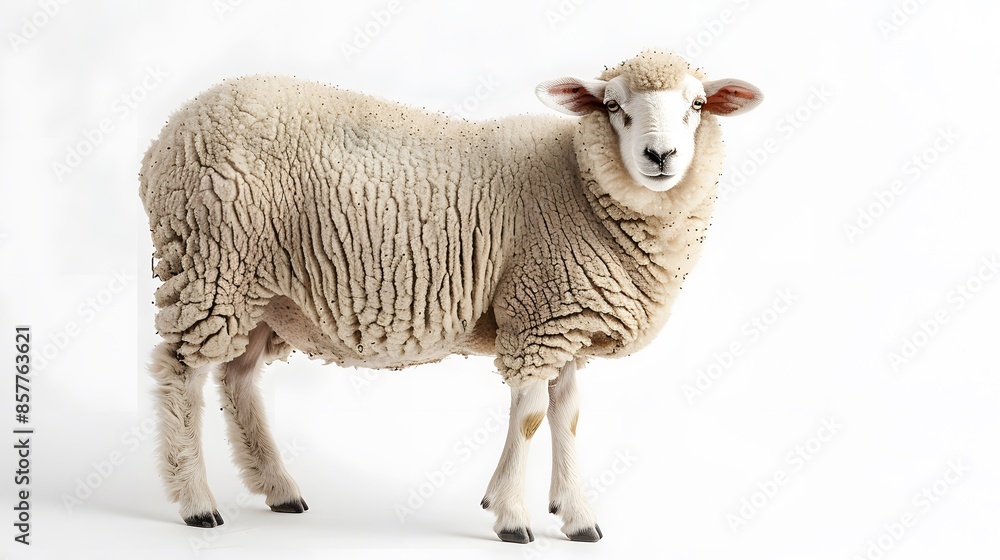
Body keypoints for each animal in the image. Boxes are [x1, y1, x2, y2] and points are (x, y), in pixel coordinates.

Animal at [139, 49, 762, 543]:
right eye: (613, 106)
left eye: (697, 105)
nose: (661, 157)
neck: (577, 182)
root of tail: (168, 134)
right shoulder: (538, 315)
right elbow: (532, 417)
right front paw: (512, 516)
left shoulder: (566, 319)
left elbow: (568, 417)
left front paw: (577, 515)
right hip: (212, 263)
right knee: (180, 374)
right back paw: (196, 502)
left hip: (261, 291)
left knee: (237, 378)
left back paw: (279, 488)